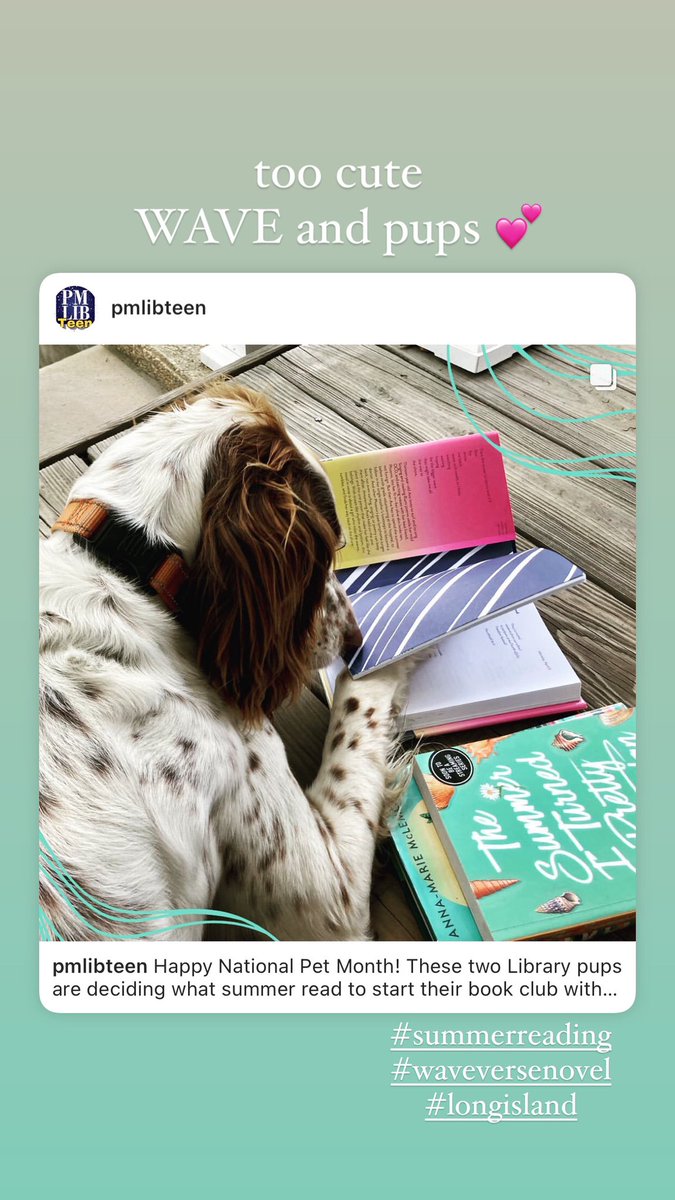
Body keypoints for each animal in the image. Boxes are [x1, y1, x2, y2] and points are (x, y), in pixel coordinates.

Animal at [40, 388, 410, 940]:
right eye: (328, 550)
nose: (355, 637)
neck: (127, 569)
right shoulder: (332, 897)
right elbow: (356, 708)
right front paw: (395, 657)